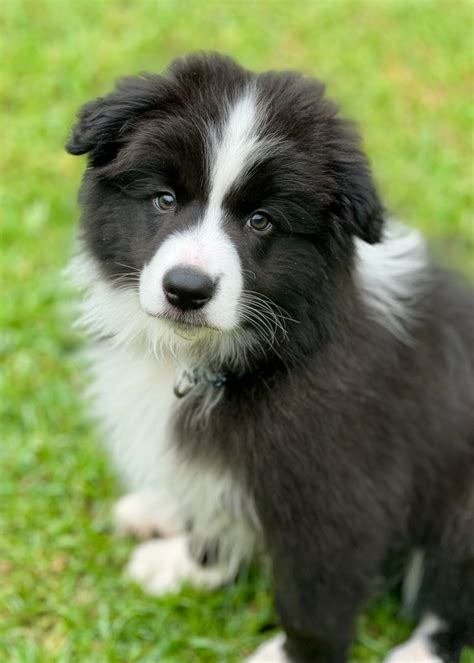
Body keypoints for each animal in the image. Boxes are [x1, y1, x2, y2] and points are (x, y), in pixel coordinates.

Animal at [66, 53, 474, 663]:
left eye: (261, 221)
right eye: (164, 199)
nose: (186, 289)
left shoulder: (340, 494)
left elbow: (313, 601)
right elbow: (214, 514)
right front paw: (185, 565)